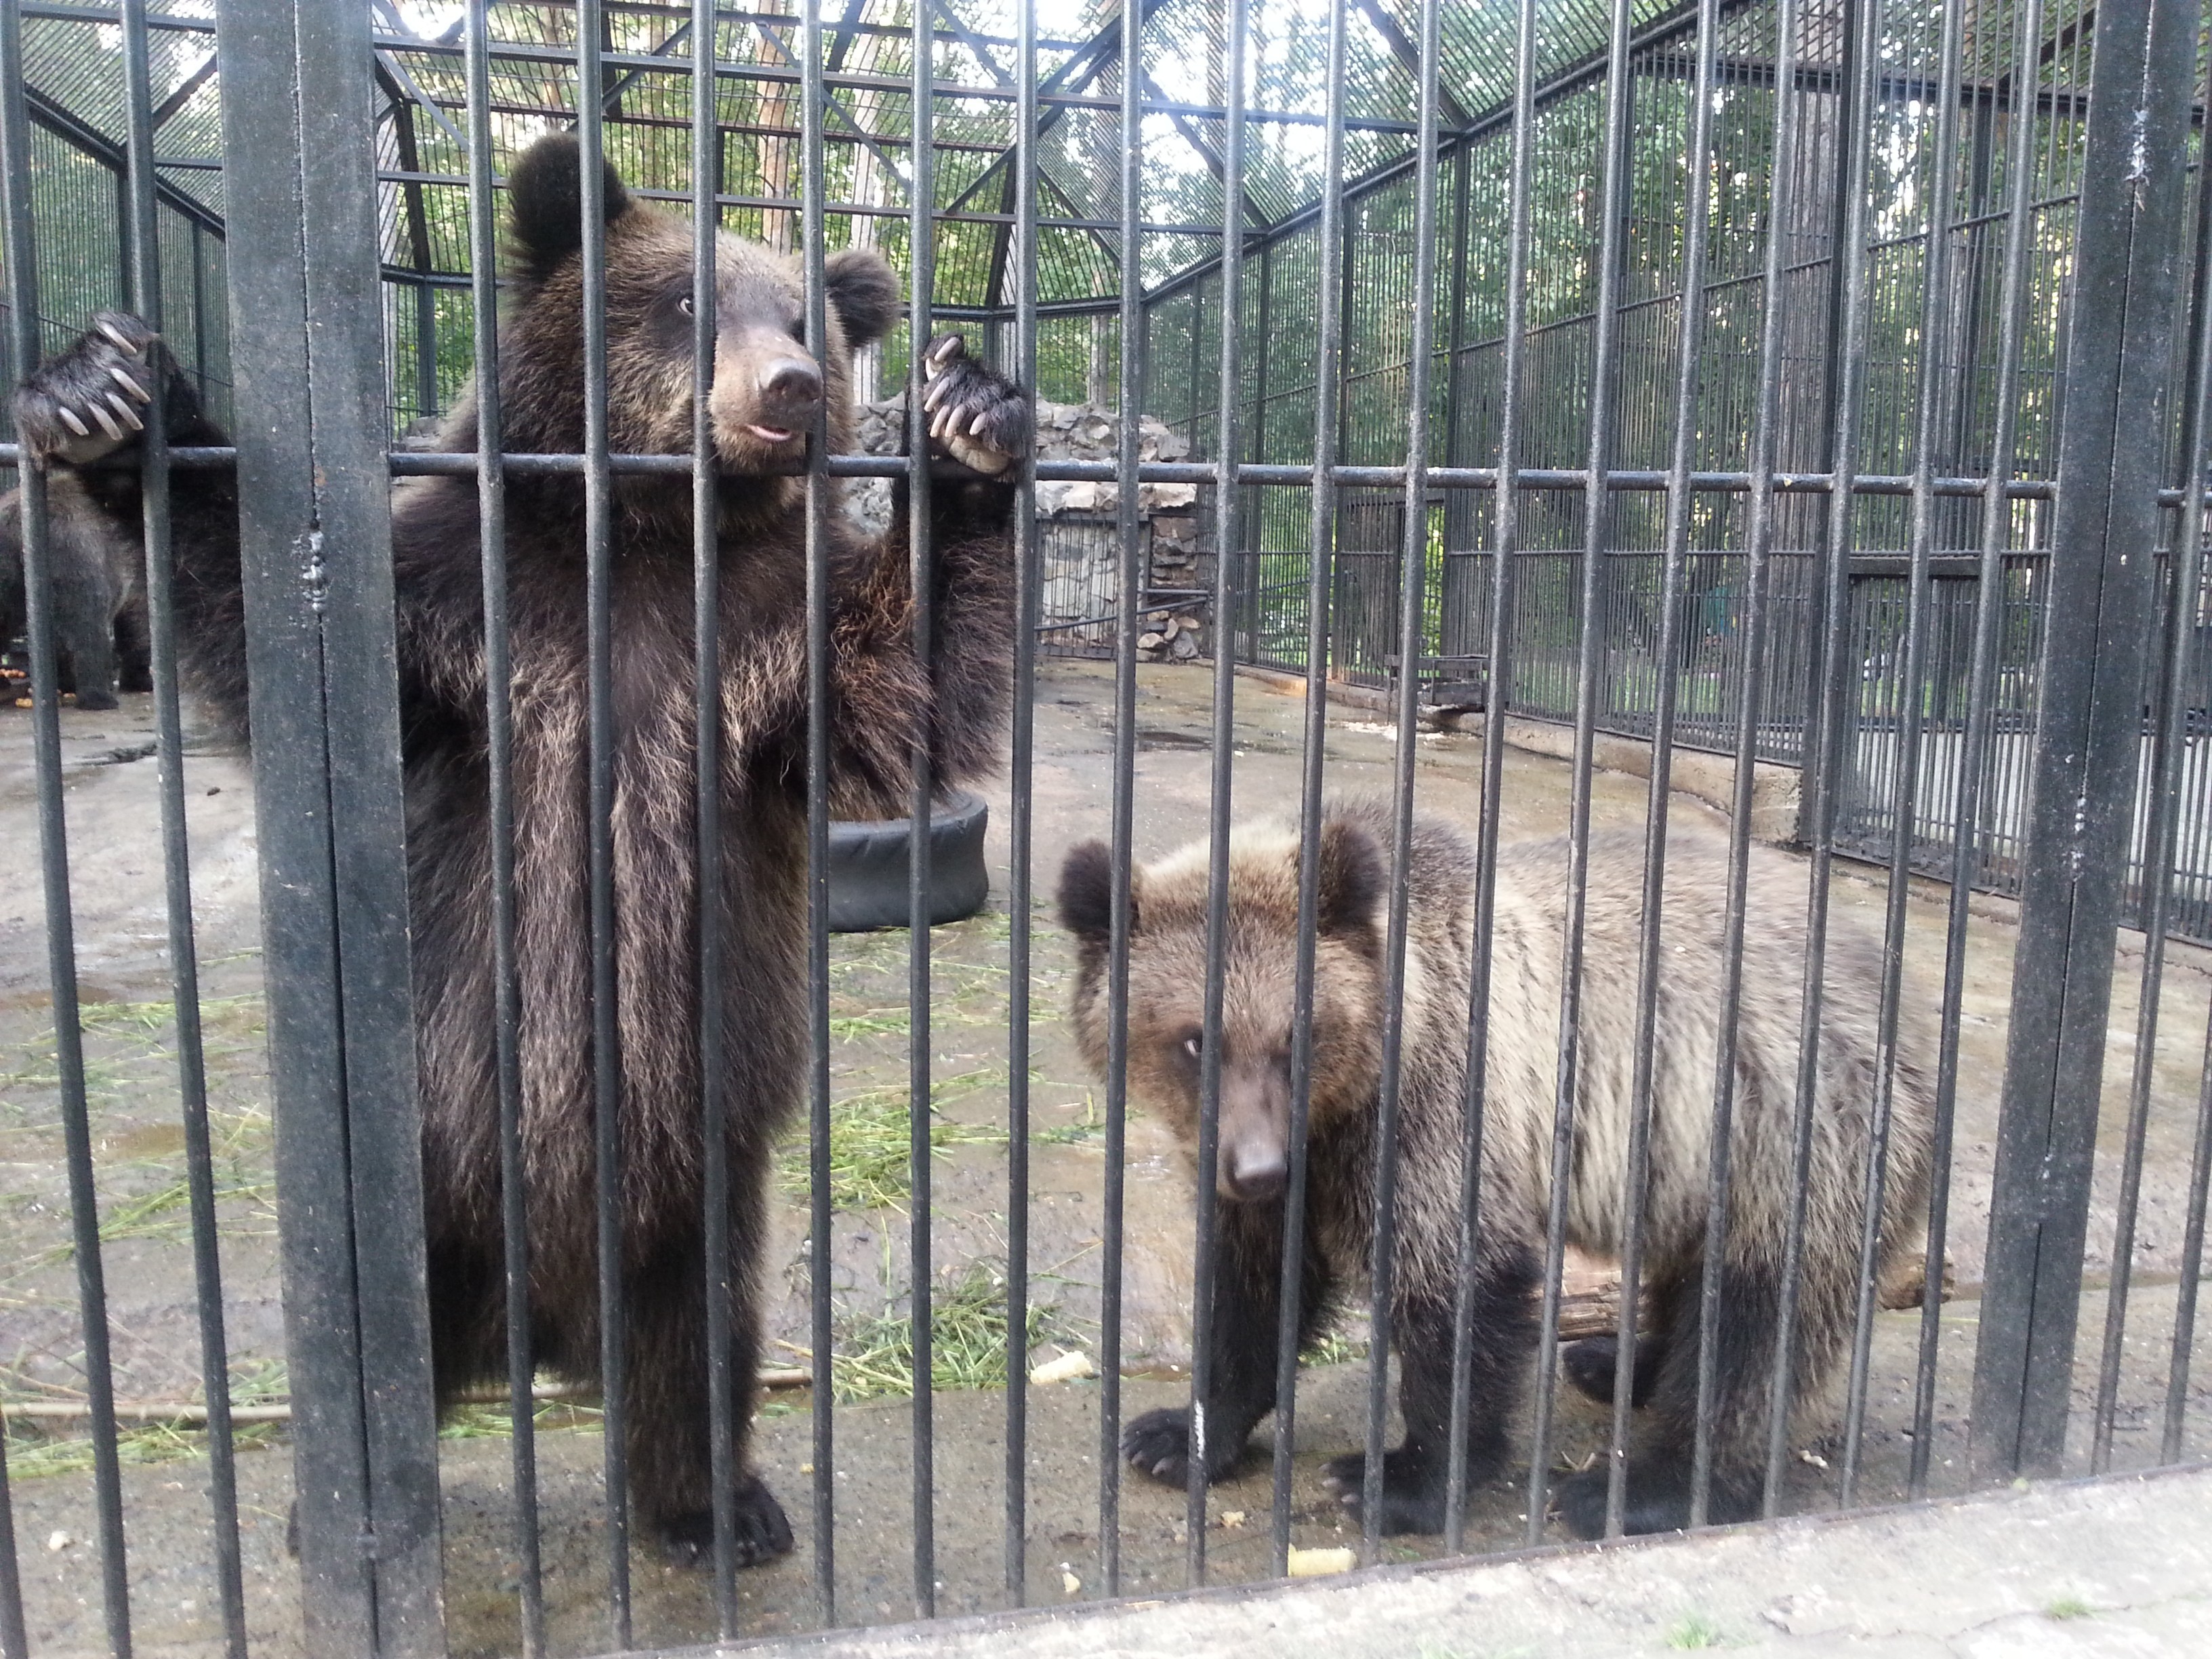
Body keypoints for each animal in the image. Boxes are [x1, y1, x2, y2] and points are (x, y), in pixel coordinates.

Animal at [1052, 805, 1938, 1548]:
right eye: (1195, 1039)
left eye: (1296, 1033)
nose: (1258, 1168)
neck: (1339, 1111)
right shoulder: (1286, 1172)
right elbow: (1254, 1291)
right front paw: (1178, 1435)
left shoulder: (1437, 1112)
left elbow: (1457, 1290)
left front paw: (1397, 1480)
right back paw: (1617, 1363)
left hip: (1791, 1122)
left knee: (1756, 1322)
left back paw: (1643, 1489)